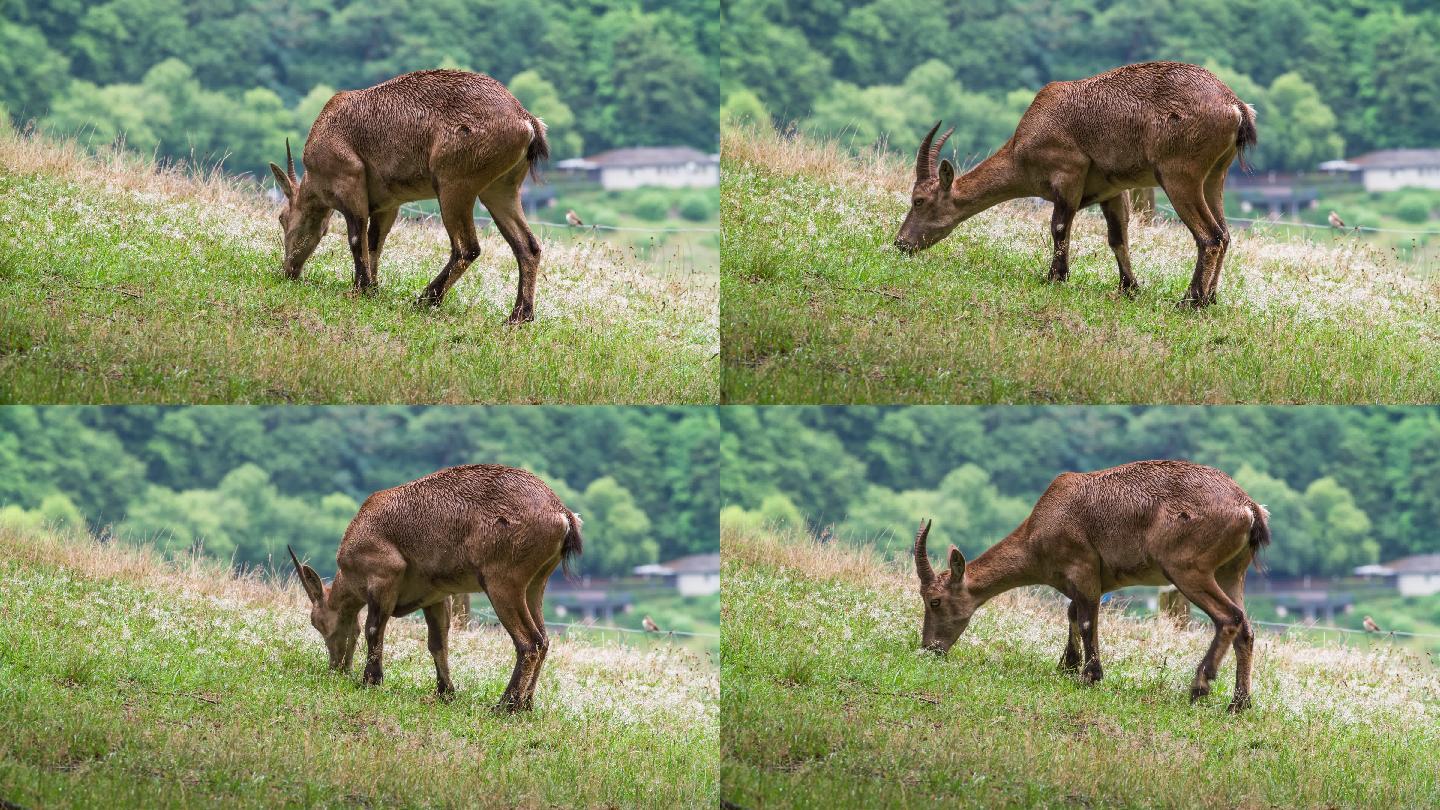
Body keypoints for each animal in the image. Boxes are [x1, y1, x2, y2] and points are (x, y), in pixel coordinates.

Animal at [267, 68, 547, 321]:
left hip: (455, 185)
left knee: (467, 248)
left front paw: (359, 289)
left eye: (282, 218)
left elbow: (357, 238)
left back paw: (424, 300)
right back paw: (518, 316)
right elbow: (374, 242)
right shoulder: (387, 205)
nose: (289, 271)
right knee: (527, 246)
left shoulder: (349, 183)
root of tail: (526, 121)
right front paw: (372, 289)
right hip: (500, 189)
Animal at [286, 464, 578, 709]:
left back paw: (506, 705)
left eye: (317, 623)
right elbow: (438, 643)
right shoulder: (435, 597)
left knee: (530, 642)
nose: (336, 668)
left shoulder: (384, 576)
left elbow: (373, 629)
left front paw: (371, 680)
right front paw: (445, 692)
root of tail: (562, 515)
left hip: (503, 581)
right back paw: (526, 704)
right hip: (536, 583)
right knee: (544, 640)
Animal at [892, 59, 1255, 305]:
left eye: (918, 200)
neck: (1024, 147)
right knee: (1225, 233)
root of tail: (1236, 107)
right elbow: (1117, 238)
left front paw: (1056, 277)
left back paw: (1190, 301)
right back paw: (1210, 298)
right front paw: (1128, 288)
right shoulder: (1112, 191)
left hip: (1180, 174)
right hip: (1215, 176)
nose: (901, 243)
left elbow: (1059, 226)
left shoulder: (1068, 173)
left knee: (1210, 236)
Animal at [910, 458, 1272, 709]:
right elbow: (1072, 613)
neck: (1039, 531)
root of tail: (1250, 508)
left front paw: (1090, 675)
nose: (930, 648)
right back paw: (1239, 704)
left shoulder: (1082, 567)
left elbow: (1086, 620)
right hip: (1230, 571)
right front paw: (1067, 666)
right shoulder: (1087, 581)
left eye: (935, 600)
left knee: (1229, 617)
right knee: (1247, 628)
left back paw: (1200, 686)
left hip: (1188, 568)